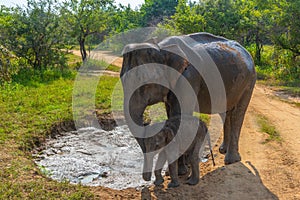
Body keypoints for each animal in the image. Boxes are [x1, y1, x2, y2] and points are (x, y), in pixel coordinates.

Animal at [119, 32, 255, 166]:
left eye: (145, 84)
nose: (147, 122)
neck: (162, 49)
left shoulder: (189, 78)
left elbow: (181, 114)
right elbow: (171, 114)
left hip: (249, 82)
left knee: (238, 113)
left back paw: (231, 160)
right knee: (226, 113)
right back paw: (223, 150)